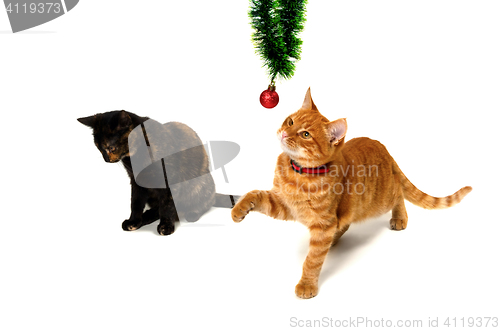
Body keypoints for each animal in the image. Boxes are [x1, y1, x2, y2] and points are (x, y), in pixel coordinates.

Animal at [78, 110, 238, 235]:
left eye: (111, 147)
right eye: (98, 147)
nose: (106, 159)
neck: (135, 158)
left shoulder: (169, 179)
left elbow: (167, 204)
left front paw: (166, 226)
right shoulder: (136, 181)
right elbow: (135, 202)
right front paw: (134, 221)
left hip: (201, 183)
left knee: (203, 203)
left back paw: (192, 213)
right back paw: (147, 216)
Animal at [231, 89, 472, 300]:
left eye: (305, 134)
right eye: (290, 122)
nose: (283, 133)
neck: (298, 173)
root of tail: (383, 148)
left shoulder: (323, 223)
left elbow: (312, 260)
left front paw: (307, 284)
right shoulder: (284, 206)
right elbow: (255, 194)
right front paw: (239, 209)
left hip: (380, 200)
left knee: (399, 194)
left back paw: (399, 217)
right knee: (345, 222)